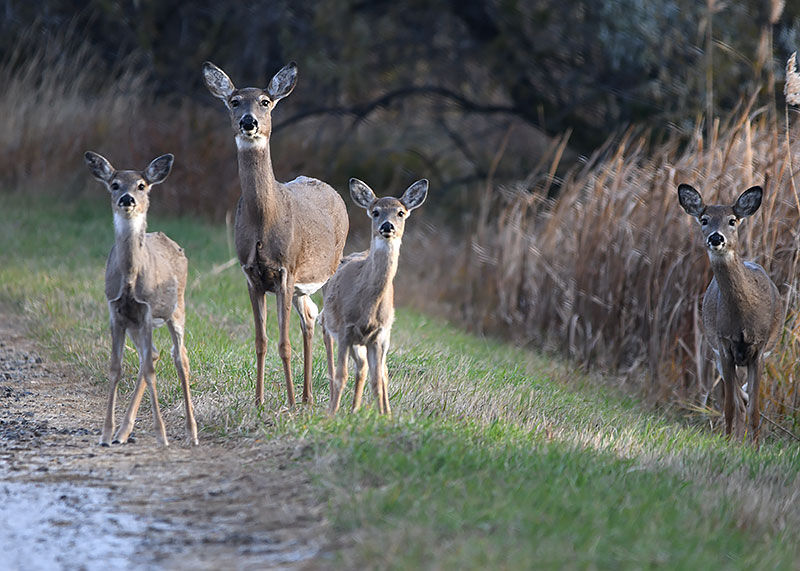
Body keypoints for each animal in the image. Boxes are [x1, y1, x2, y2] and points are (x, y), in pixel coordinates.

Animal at [85, 152, 199, 446]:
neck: (130, 279)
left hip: (177, 308)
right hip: (135, 324)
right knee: (155, 354)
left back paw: (191, 433)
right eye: (114, 184)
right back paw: (123, 432)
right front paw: (106, 434)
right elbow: (115, 367)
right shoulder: (115, 311)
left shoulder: (147, 311)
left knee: (180, 359)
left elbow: (149, 369)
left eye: (141, 185)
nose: (127, 199)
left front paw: (161, 435)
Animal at [202, 60, 348, 408]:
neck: (263, 221)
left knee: (323, 322)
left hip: (326, 271)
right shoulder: (251, 274)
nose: (249, 121)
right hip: (300, 288)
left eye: (265, 101)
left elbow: (284, 344)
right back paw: (308, 396)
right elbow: (261, 340)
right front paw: (258, 401)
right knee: (309, 318)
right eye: (235, 101)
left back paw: (317, 396)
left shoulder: (286, 269)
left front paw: (290, 404)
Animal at [322, 177, 428, 414]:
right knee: (340, 367)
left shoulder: (378, 335)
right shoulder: (345, 328)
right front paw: (331, 415)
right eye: (376, 211)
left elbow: (378, 378)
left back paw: (360, 409)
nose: (387, 226)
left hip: (380, 338)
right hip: (328, 325)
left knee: (373, 370)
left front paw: (383, 416)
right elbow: (341, 375)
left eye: (400, 212)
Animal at [676, 184, 780, 446]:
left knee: (744, 400)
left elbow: (755, 408)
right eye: (704, 220)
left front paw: (755, 447)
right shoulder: (723, 345)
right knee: (737, 400)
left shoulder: (760, 349)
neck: (743, 321)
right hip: (715, 353)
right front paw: (728, 441)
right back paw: (736, 439)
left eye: (732, 220)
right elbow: (730, 406)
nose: (716, 237)